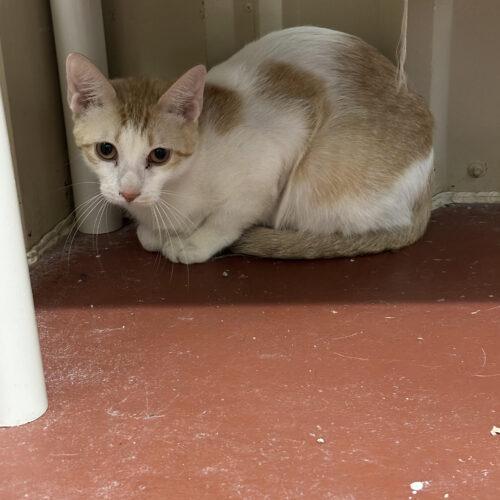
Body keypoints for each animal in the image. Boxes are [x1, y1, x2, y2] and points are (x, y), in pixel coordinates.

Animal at [66, 26, 434, 266]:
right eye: (106, 150)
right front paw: (157, 233)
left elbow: (230, 217)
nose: (128, 192)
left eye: (159, 155)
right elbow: (144, 236)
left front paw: (193, 243)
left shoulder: (278, 147)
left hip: (313, 184)